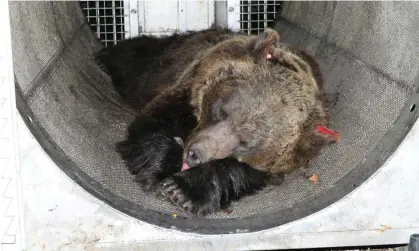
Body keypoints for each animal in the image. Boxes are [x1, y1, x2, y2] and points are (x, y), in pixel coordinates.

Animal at [96, 27, 342, 216]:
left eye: (245, 143)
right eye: (222, 112)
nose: (194, 154)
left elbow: (239, 171)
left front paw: (181, 190)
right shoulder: (186, 89)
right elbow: (155, 122)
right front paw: (160, 172)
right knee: (136, 57)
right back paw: (104, 57)